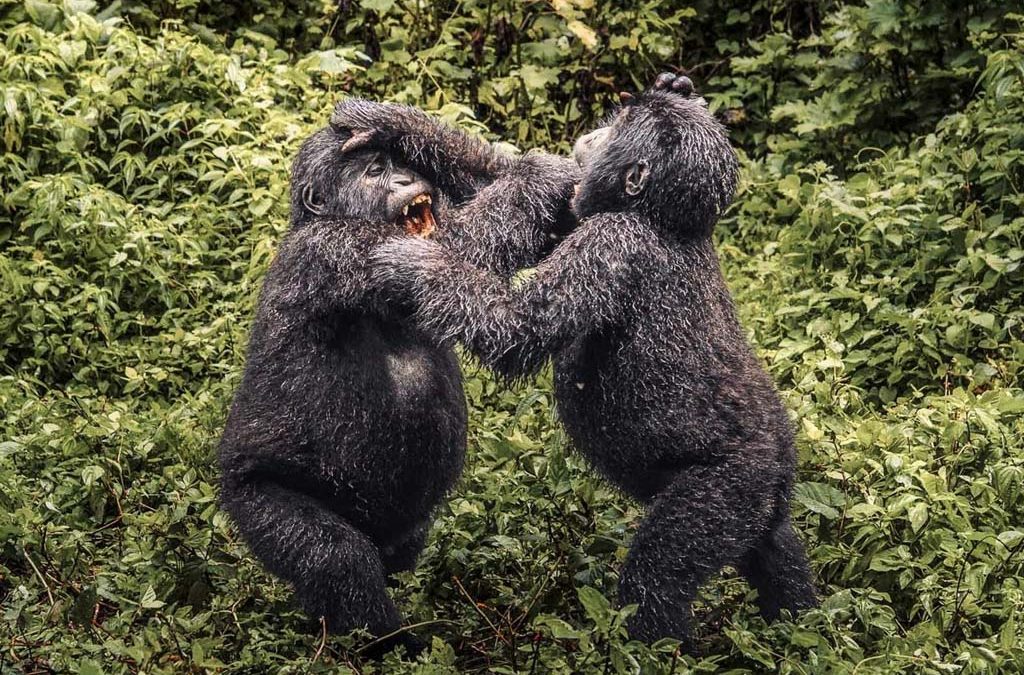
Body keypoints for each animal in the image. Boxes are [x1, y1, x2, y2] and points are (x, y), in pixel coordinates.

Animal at [218, 100, 579, 654]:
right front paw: (546, 172)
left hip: (400, 528)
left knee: (399, 554)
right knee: (334, 557)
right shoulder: (338, 251)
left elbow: (483, 197)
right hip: (250, 496)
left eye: (396, 163)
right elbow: (456, 247)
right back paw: (390, 644)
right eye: (374, 173)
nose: (407, 178)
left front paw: (384, 119)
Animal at [369, 74, 818, 649]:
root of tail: (780, 464)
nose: (598, 129)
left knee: (659, 577)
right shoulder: (580, 210)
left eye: (622, 126)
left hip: (731, 488)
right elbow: (513, 180)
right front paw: (388, 123)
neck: (657, 218)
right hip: (767, 503)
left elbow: (518, 329)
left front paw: (413, 264)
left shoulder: (610, 245)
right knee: (779, 556)